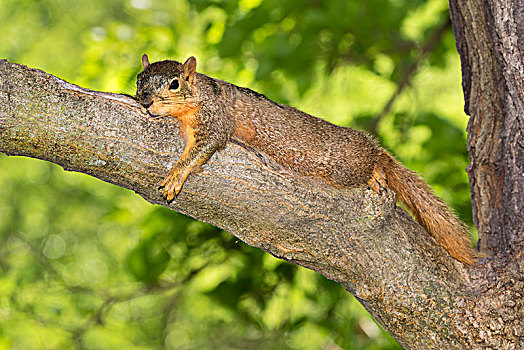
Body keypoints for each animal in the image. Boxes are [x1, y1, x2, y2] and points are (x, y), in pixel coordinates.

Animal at [136, 53, 478, 264]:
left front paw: (175, 175)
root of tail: (371, 147)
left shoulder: (214, 120)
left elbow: (202, 148)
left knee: (373, 166)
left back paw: (376, 173)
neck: (196, 97)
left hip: (345, 167)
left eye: (175, 83)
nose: (145, 102)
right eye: (139, 79)